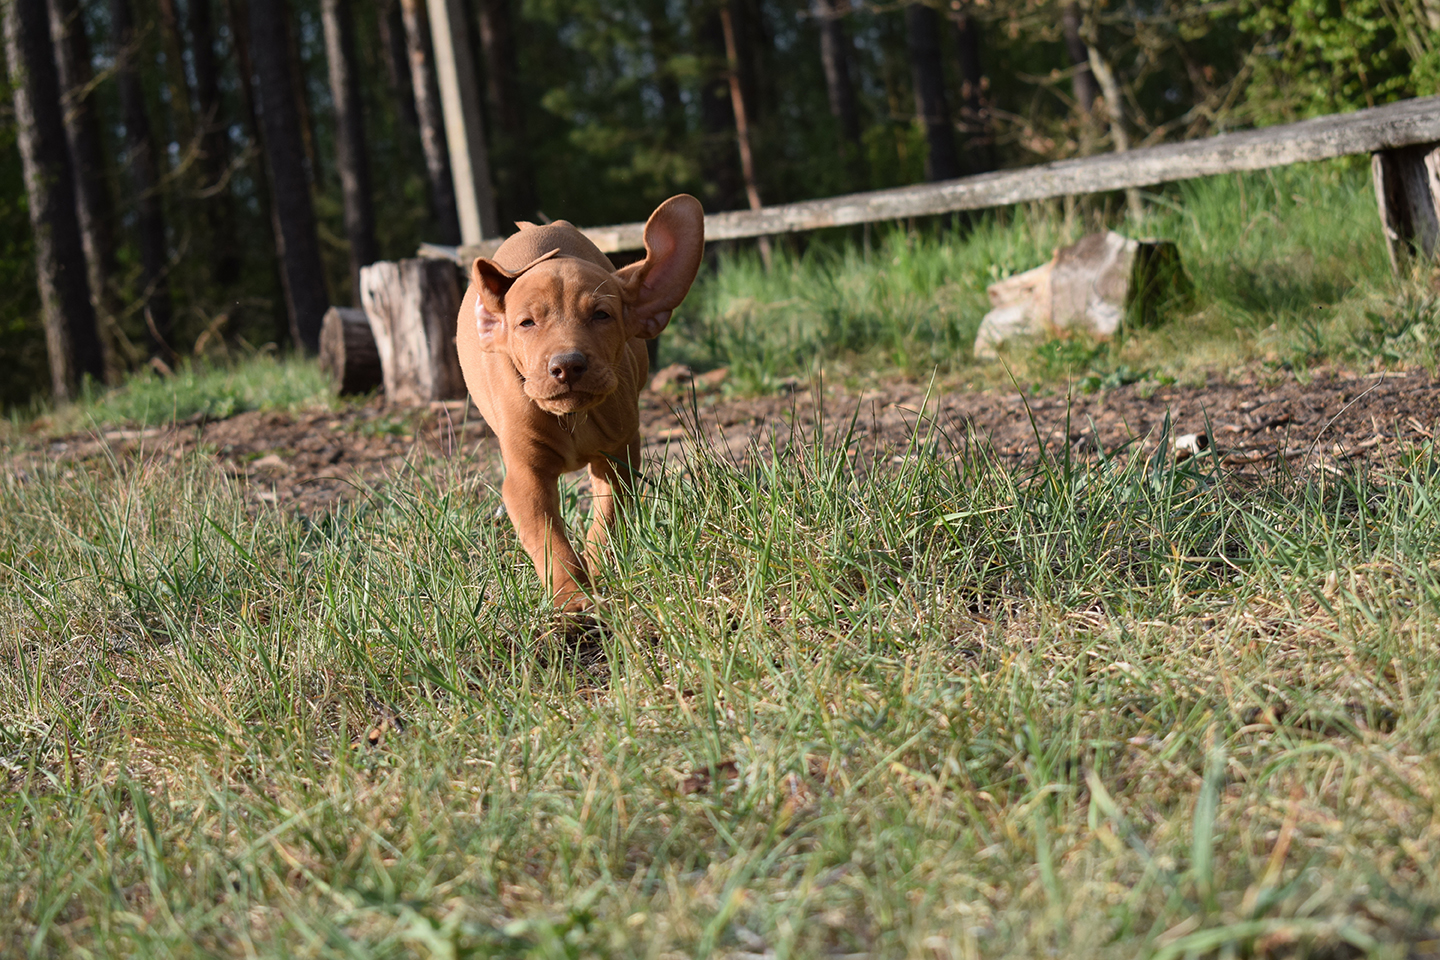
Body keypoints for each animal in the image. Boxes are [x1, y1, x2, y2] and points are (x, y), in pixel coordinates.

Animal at [455, 195, 705, 612]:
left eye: (601, 315)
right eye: (526, 323)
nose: (568, 364)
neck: (573, 417)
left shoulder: (617, 459)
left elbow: (607, 520)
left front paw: (598, 566)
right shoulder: (525, 478)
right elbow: (548, 540)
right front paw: (572, 599)